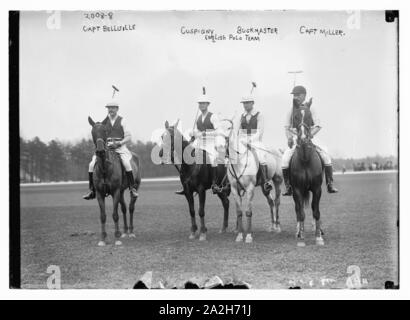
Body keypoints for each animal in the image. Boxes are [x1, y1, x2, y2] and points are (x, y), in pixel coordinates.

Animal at [87, 116, 141, 246]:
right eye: (92, 132)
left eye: (105, 131)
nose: (100, 151)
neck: (105, 168)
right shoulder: (100, 194)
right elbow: (103, 216)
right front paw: (103, 239)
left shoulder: (115, 192)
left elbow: (115, 215)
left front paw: (117, 238)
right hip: (121, 191)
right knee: (124, 208)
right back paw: (125, 232)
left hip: (135, 187)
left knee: (131, 207)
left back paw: (131, 232)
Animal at [290, 107, 326, 248]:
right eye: (295, 117)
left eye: (309, 116)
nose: (303, 138)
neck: (305, 159)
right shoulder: (297, 190)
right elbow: (301, 213)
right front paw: (301, 239)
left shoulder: (317, 189)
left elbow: (316, 211)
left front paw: (318, 238)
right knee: (297, 209)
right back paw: (298, 232)